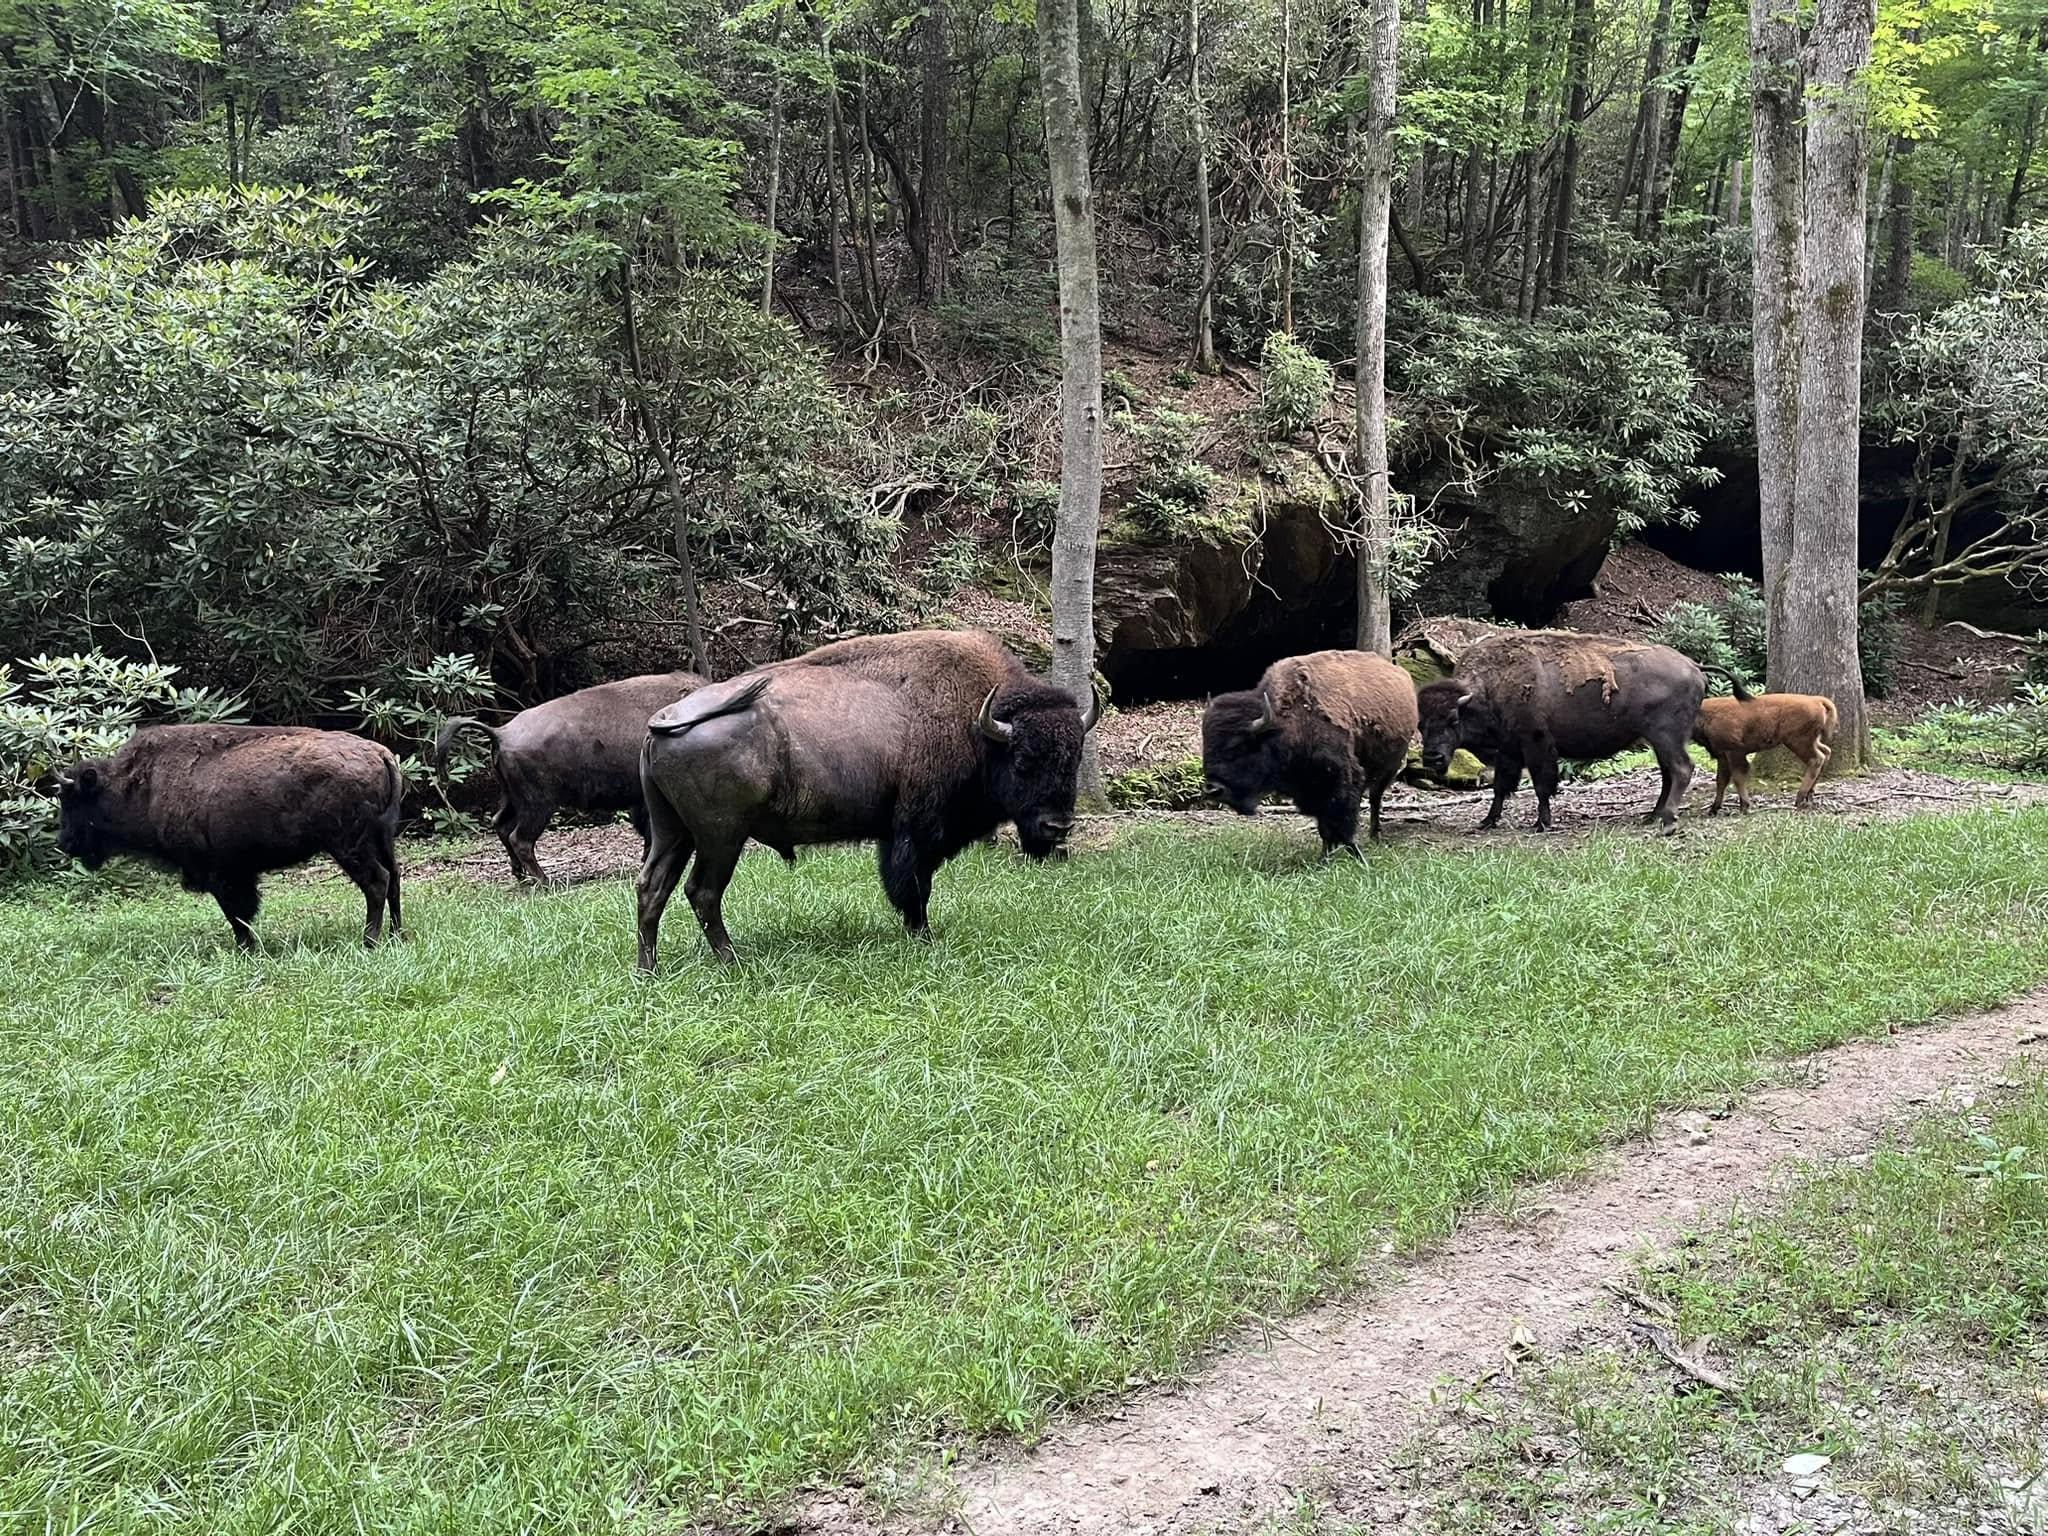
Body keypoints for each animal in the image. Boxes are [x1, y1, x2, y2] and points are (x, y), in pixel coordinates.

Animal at [55, 725, 404, 948]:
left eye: (72, 800)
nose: (65, 843)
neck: (142, 784)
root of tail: (379, 753)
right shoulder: (238, 872)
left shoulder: (222, 873)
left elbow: (238, 913)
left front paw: (245, 948)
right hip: (381, 839)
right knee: (394, 879)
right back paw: (396, 935)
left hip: (349, 845)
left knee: (377, 881)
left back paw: (369, 941)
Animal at [435, 670, 703, 883]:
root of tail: (501, 733)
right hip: (539, 806)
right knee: (520, 839)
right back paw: (545, 881)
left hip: (513, 799)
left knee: (501, 825)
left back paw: (521, 875)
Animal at [636, 630, 1100, 967]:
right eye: (1023, 760)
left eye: (1075, 757)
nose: (1057, 826)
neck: (978, 725)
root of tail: (664, 720)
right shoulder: (914, 833)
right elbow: (913, 886)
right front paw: (923, 936)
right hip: (721, 837)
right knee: (702, 892)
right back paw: (733, 962)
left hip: (673, 833)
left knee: (652, 888)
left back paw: (649, 970)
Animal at [1202, 650, 1419, 859]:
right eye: (1206, 744)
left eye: (1239, 746)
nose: (1213, 789)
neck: (1288, 724)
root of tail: (1401, 674)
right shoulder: (1310, 791)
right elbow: (1325, 828)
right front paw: (1324, 858)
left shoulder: (1342, 782)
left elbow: (1342, 824)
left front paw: (1357, 857)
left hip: (1390, 768)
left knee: (1375, 799)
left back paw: (1375, 836)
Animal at [1416, 631, 1705, 832]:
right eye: (1420, 724)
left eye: (1453, 720)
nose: (1432, 757)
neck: (1490, 688)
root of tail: (1695, 670)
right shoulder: (1508, 750)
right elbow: (1500, 786)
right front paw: (1487, 821)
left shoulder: (1536, 744)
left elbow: (1541, 786)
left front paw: (1542, 823)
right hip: (1658, 741)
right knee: (1668, 773)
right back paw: (1653, 815)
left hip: (1666, 736)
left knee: (1681, 768)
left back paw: (1667, 819)